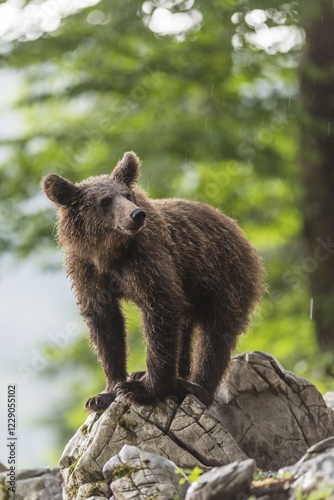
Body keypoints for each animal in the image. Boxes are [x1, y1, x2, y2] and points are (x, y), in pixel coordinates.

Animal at [41, 151, 264, 410]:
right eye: (105, 201)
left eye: (126, 194)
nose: (136, 214)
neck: (108, 253)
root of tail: (238, 230)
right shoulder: (87, 271)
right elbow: (105, 326)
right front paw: (105, 392)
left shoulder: (146, 259)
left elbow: (160, 309)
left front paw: (142, 388)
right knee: (186, 332)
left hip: (224, 278)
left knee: (216, 334)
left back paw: (195, 386)